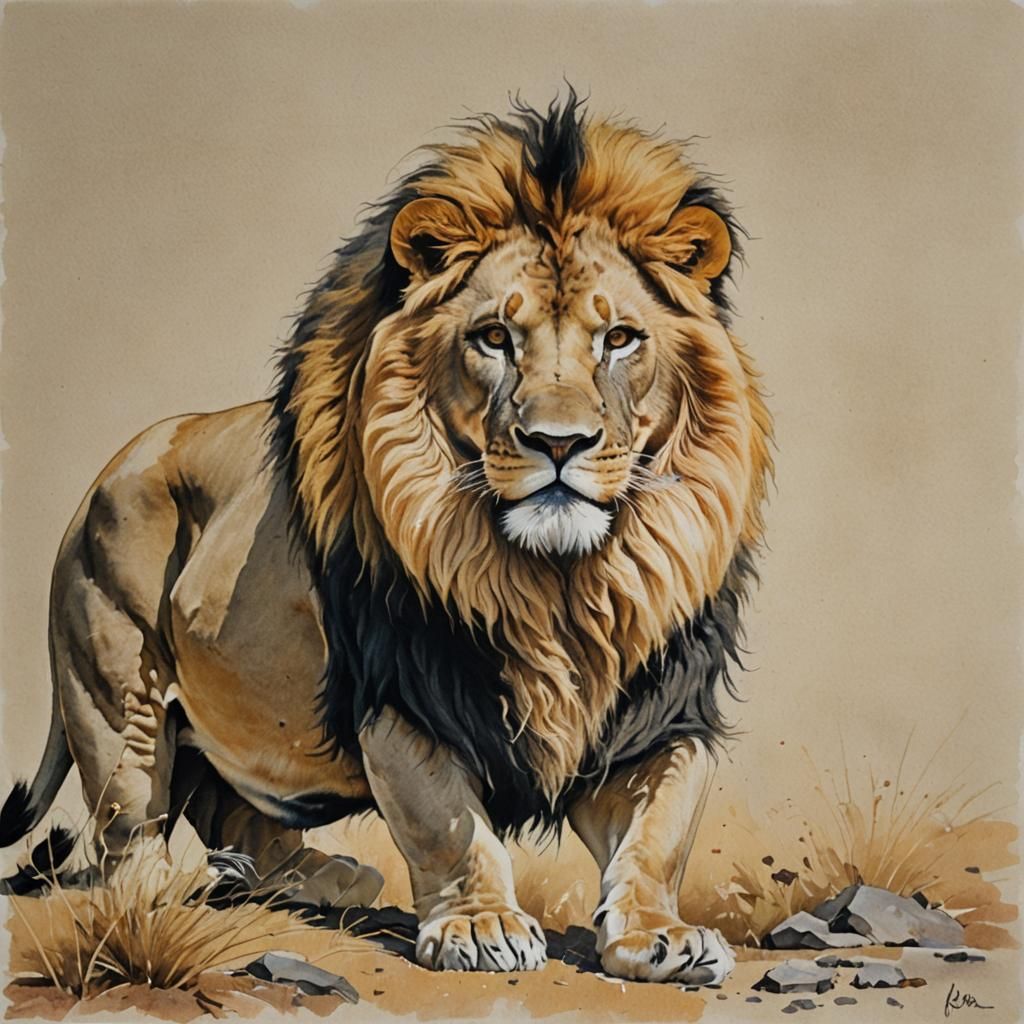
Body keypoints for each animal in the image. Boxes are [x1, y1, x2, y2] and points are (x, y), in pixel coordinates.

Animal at [1, 94, 772, 984]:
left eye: (619, 339)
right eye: (494, 338)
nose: (558, 443)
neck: (556, 581)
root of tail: (103, 476)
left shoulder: (661, 709)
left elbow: (658, 835)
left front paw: (661, 935)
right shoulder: (406, 698)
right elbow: (448, 825)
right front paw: (479, 926)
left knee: (232, 808)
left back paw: (319, 876)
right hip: (115, 688)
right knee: (131, 834)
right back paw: (177, 888)